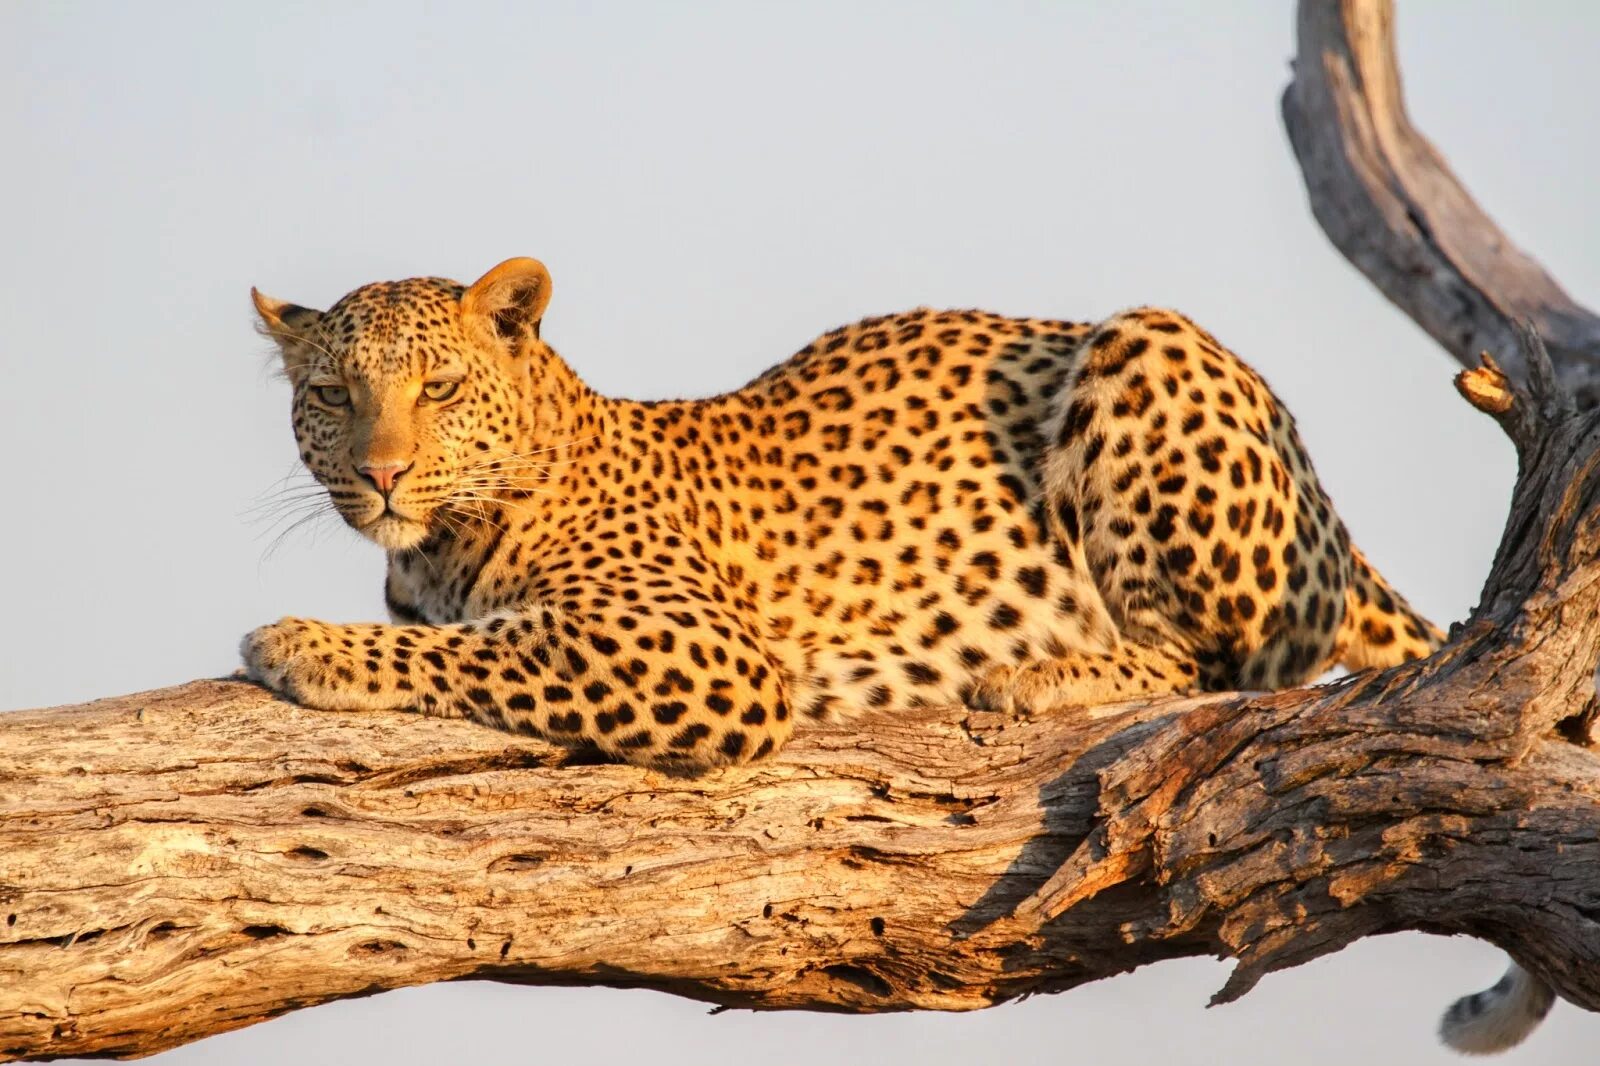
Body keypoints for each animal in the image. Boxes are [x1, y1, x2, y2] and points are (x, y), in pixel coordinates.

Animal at [247, 257, 1535, 1050]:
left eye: (440, 386)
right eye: (331, 393)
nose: (381, 474)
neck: (443, 545)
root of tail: (1331, 517)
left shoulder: (700, 654)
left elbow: (480, 648)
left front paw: (297, 640)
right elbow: (462, 638)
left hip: (1146, 351)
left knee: (1230, 664)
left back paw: (1034, 672)